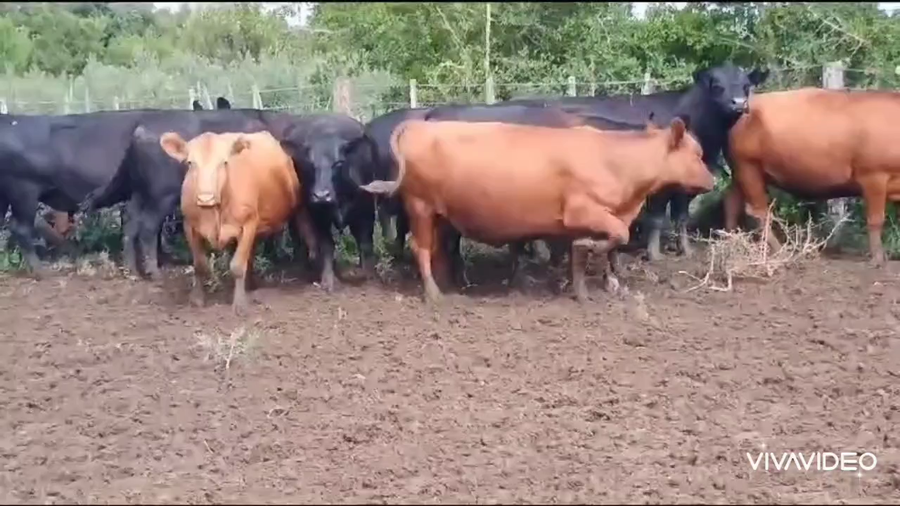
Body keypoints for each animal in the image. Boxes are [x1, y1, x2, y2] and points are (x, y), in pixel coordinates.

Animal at [159, 130, 312, 313]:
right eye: (190, 163)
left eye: (224, 162)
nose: (205, 198)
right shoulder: (190, 225)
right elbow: (200, 264)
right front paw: (196, 299)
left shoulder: (248, 224)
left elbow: (238, 266)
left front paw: (239, 304)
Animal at [275, 113, 379, 292]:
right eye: (310, 163)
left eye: (338, 163)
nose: (322, 195)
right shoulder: (318, 216)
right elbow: (326, 245)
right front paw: (328, 280)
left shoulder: (365, 211)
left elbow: (365, 243)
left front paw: (369, 277)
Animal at [359, 117, 715, 302]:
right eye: (697, 154)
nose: (712, 180)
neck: (614, 160)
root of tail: (418, 124)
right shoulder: (581, 211)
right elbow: (616, 235)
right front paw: (591, 255)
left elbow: (579, 257)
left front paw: (581, 292)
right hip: (420, 207)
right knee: (421, 249)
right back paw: (435, 294)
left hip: (441, 214)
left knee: (438, 250)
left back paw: (450, 287)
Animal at [507, 62, 769, 261]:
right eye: (717, 86)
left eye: (746, 85)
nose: (739, 103)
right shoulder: (661, 187)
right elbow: (657, 217)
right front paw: (654, 254)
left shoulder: (684, 189)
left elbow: (681, 217)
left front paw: (685, 250)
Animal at [725, 87, 900, 266]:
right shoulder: (873, 176)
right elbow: (875, 220)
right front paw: (878, 259)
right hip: (748, 167)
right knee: (759, 211)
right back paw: (780, 251)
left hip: (741, 173)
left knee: (731, 203)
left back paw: (730, 242)